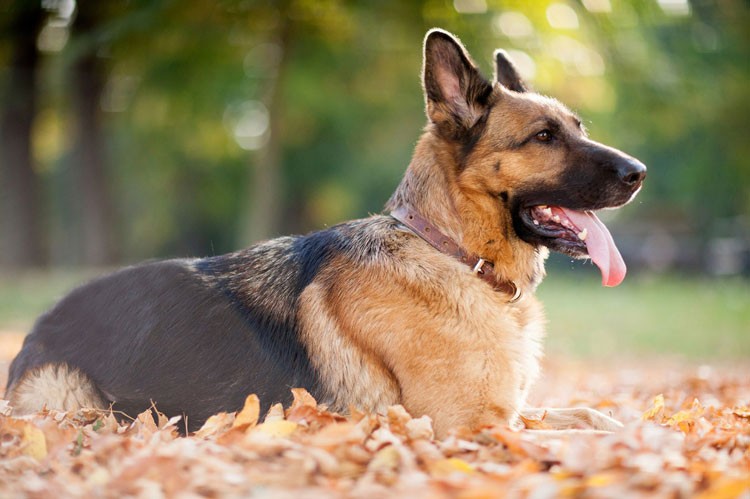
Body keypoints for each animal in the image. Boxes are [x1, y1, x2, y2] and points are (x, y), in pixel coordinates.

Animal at [5, 31, 648, 438]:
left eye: (577, 128)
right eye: (544, 137)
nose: (639, 172)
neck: (452, 254)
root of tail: (39, 326)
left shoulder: (508, 413)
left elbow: (591, 417)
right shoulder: (470, 426)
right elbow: (579, 439)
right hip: (77, 402)